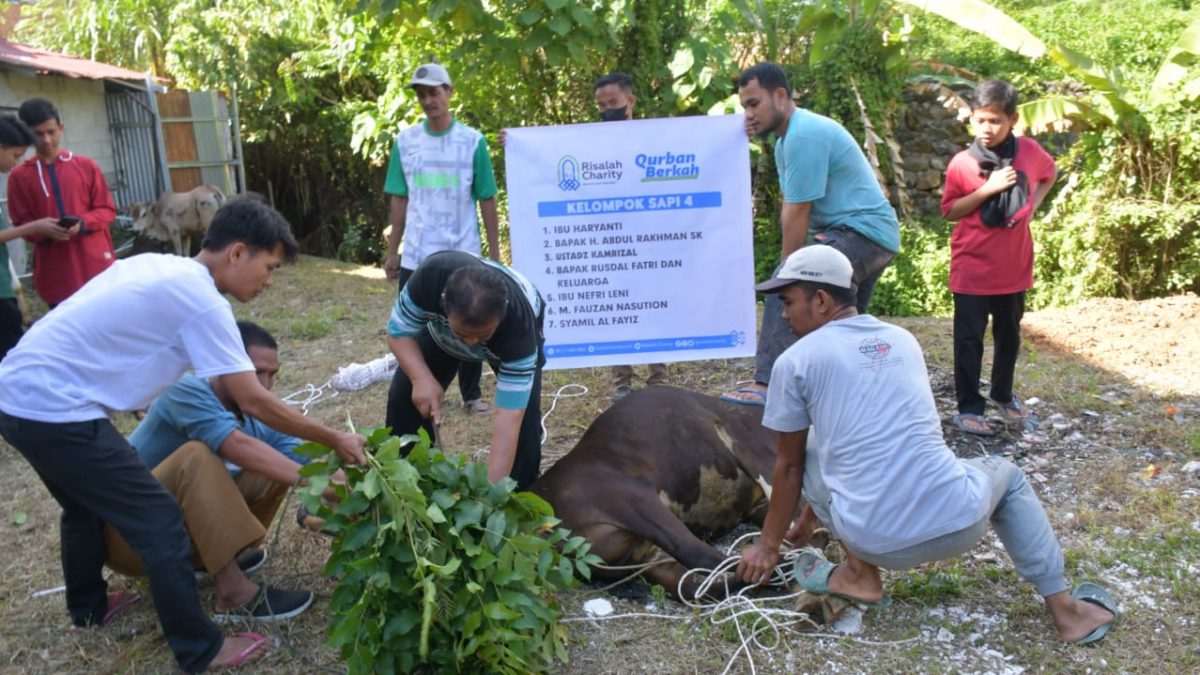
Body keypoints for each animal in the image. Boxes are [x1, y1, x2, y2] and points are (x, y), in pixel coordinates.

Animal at [535, 384, 787, 598]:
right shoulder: (757, 452)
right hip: (635, 500)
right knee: (694, 553)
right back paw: (778, 569)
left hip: (648, 554)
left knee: (692, 586)